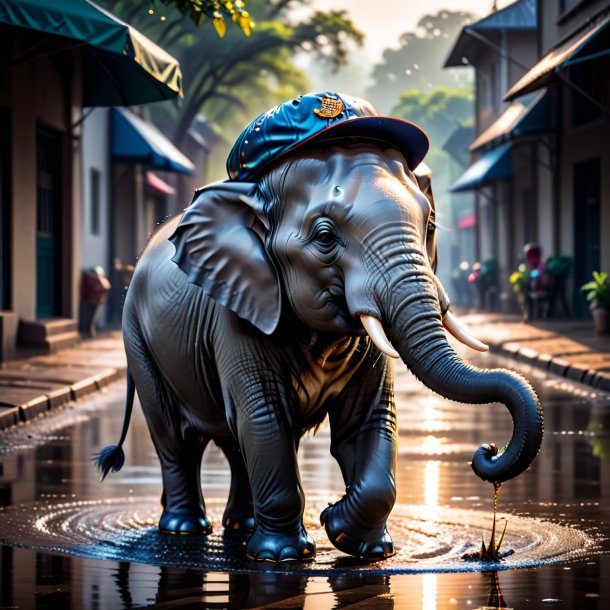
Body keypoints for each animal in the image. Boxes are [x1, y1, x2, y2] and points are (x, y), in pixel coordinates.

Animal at [96, 92, 540, 564]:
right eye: (324, 237)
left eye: (431, 225)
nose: (488, 450)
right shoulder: (236, 315)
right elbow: (265, 416)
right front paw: (285, 556)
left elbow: (368, 420)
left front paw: (359, 542)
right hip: (137, 338)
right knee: (177, 438)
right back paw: (185, 529)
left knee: (235, 442)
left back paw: (241, 527)